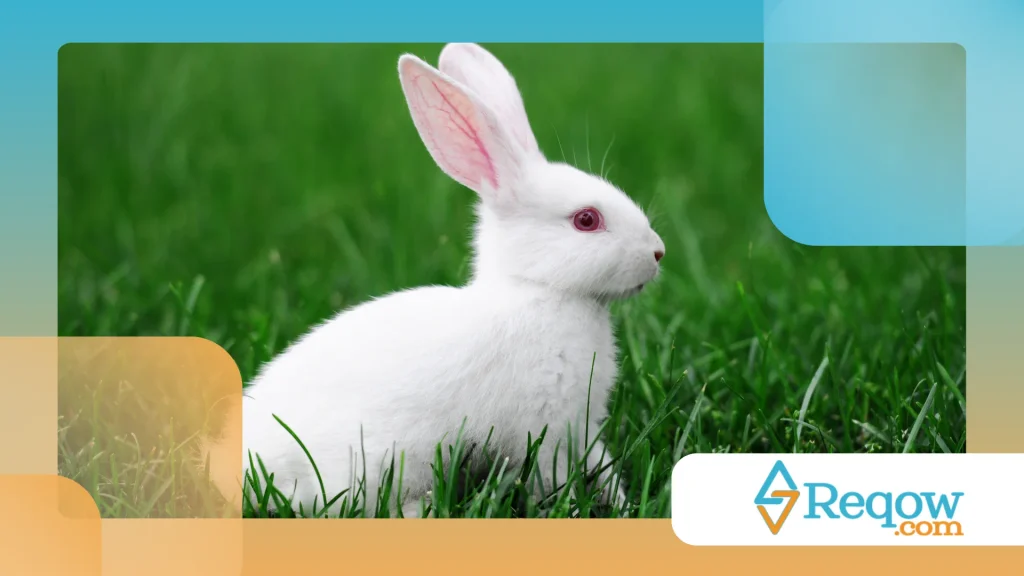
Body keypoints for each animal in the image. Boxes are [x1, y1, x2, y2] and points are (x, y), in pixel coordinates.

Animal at [203, 42, 665, 518]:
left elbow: (602, 467)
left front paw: (624, 505)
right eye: (586, 220)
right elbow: (554, 479)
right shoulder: (546, 431)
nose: (657, 253)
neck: (534, 290)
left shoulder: (582, 429)